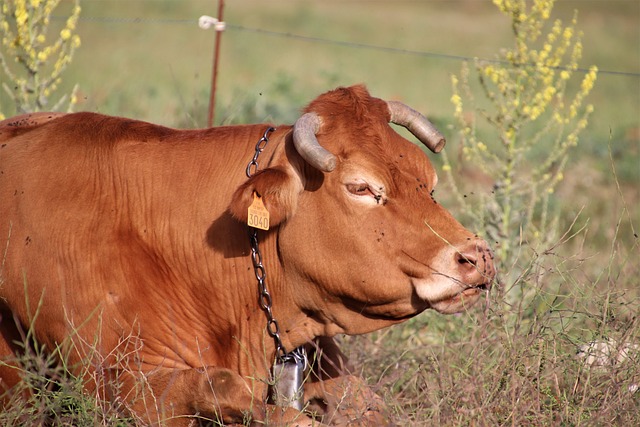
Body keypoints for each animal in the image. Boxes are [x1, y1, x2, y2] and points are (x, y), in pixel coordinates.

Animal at [0, 85, 496, 426]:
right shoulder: (120, 385)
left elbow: (364, 402)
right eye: (360, 187)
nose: (477, 257)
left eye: (429, 180)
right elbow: (236, 392)